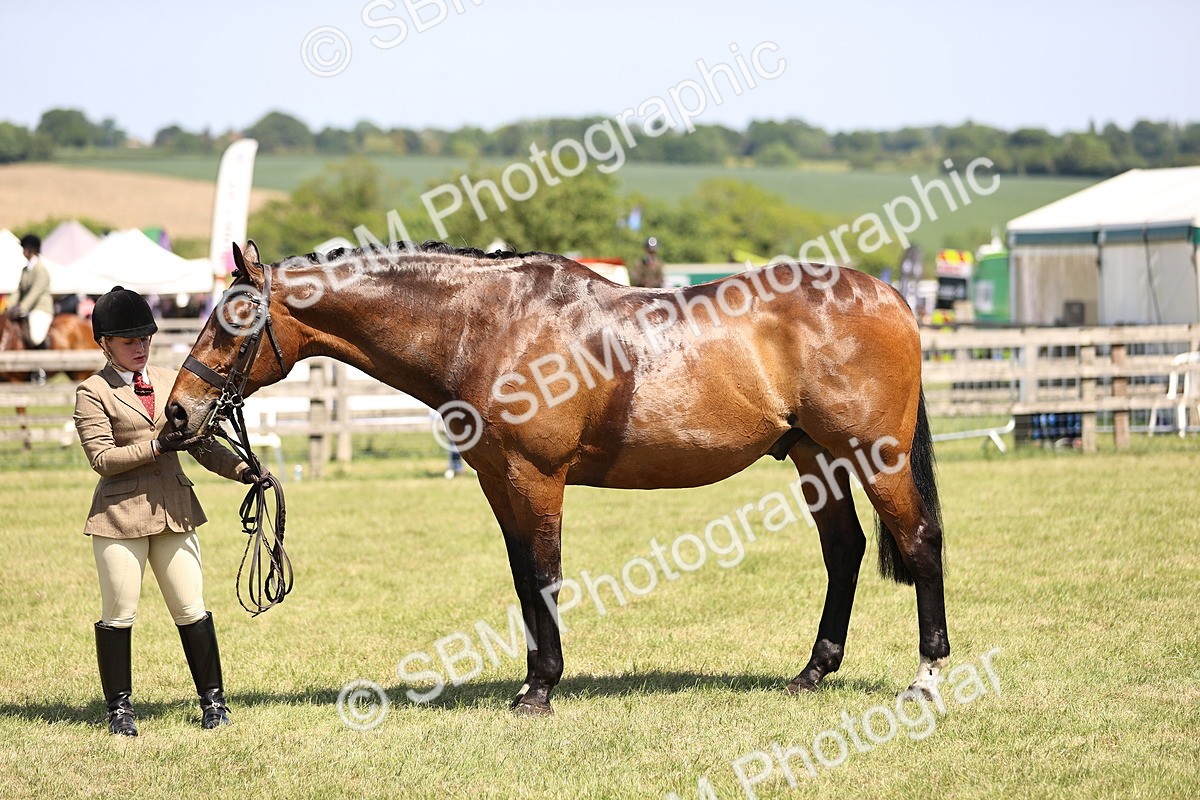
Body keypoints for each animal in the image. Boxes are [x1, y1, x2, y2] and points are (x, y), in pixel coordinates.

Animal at [165, 240, 948, 715]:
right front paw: (532, 675)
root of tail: (893, 298)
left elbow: (544, 573)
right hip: (816, 456)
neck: (492, 325)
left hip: (875, 455)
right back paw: (813, 671)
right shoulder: (496, 480)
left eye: (233, 322)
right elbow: (522, 577)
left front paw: (540, 690)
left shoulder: (536, 477)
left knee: (919, 544)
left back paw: (927, 677)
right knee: (844, 550)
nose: (177, 412)